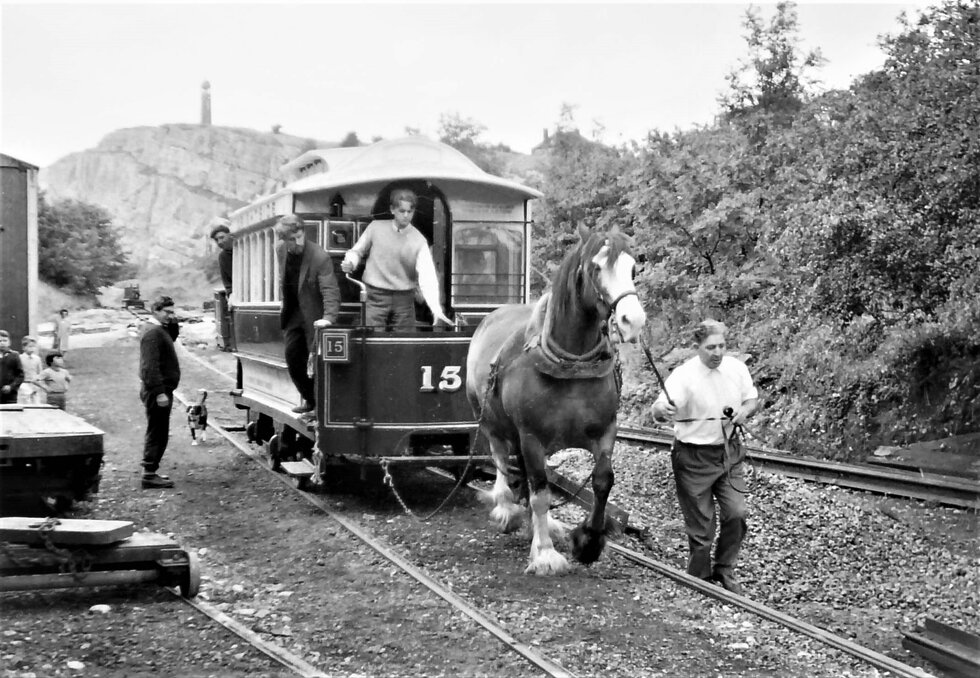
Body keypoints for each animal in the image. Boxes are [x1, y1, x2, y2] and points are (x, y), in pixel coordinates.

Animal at [466, 226, 648, 576]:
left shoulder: (606, 430)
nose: (633, 320)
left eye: (633, 268)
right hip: (491, 420)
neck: (571, 364)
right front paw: (545, 554)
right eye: (596, 268)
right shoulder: (531, 436)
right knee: (501, 458)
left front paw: (588, 541)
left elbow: (602, 481)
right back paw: (506, 508)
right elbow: (540, 493)